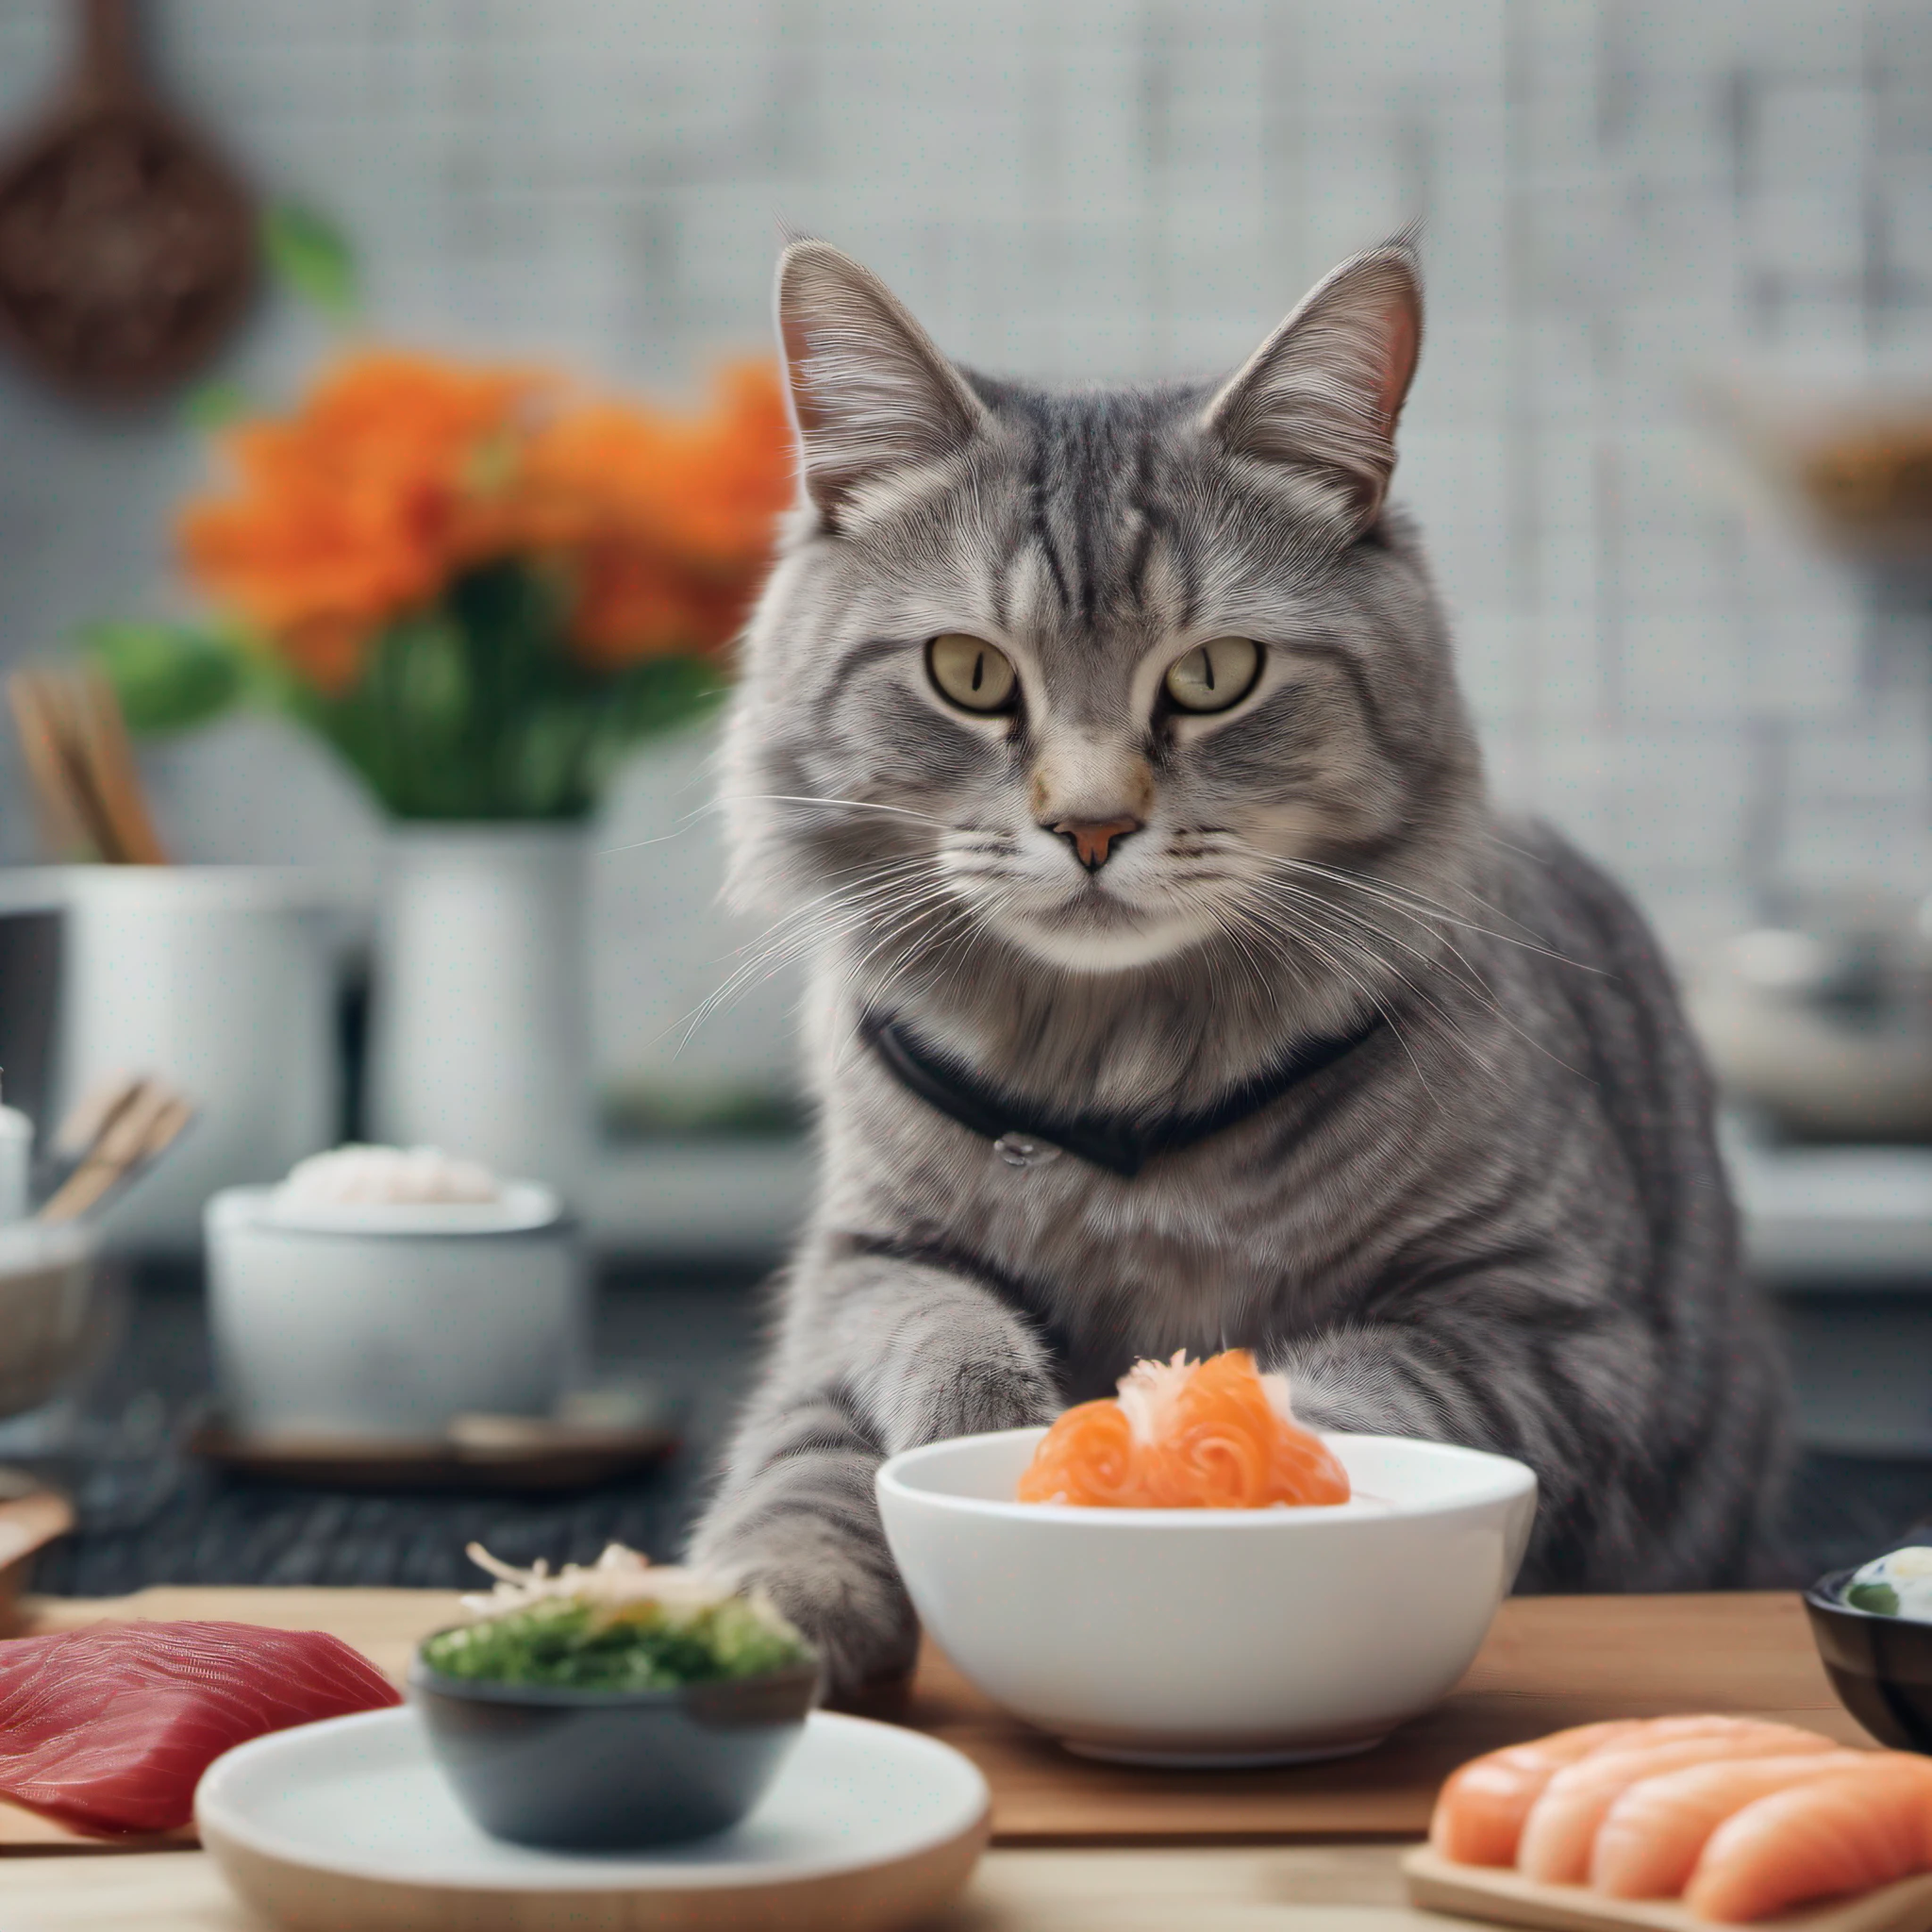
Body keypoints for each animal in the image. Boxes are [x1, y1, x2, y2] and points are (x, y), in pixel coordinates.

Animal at [688, 237, 1785, 1692]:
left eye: (1214, 675)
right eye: (969, 672)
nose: (1090, 825)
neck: (1112, 1077)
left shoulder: (1555, 1332)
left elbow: (1344, 1395)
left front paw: (1168, 1464)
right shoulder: (861, 1263)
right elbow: (842, 1416)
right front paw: (777, 1599)